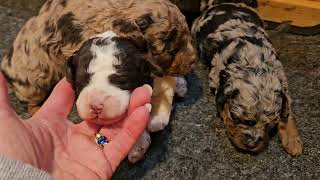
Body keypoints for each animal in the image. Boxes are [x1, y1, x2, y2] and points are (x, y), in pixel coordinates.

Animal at [0, 0, 195, 163]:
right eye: (170, 50)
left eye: (187, 37)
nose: (193, 61)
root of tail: (5, 67)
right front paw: (139, 142)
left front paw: (178, 84)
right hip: (33, 82)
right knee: (31, 102)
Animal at [191, 2, 304, 155]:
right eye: (235, 117)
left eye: (270, 125)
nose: (251, 145)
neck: (253, 60)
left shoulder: (282, 80)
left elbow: (287, 111)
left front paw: (292, 140)